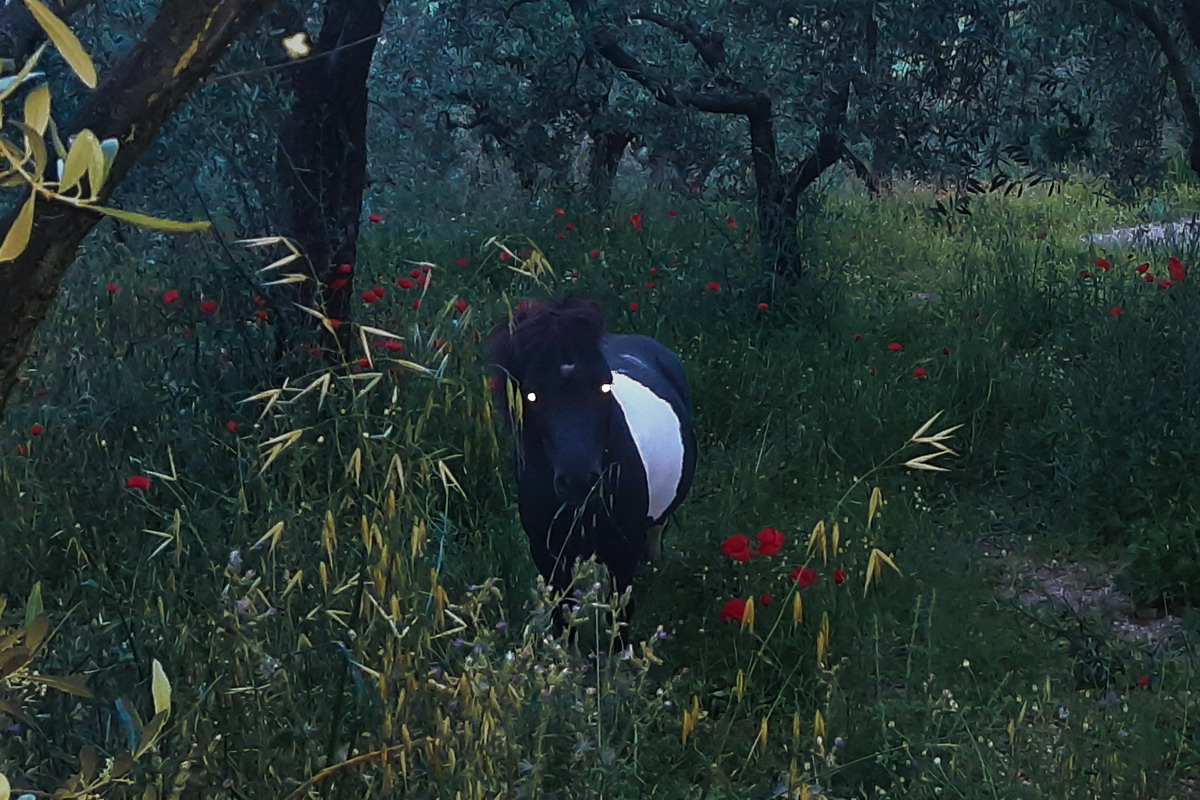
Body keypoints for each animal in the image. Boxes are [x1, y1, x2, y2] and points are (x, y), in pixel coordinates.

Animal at [489, 297, 696, 630]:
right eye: (531, 396)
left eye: (604, 386)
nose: (578, 481)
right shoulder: (549, 556)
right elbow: (563, 617)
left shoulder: (622, 552)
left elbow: (620, 617)